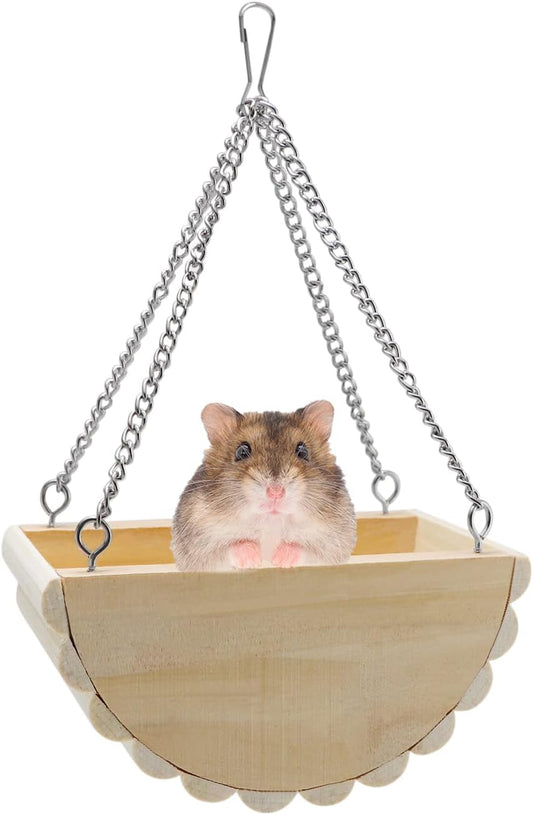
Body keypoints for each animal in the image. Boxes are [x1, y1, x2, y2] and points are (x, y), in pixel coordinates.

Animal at [170, 400, 357, 571]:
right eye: (241, 451)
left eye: (303, 451)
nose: (275, 492)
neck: (270, 521)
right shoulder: (199, 547)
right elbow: (229, 547)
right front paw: (253, 561)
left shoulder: (333, 546)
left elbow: (306, 549)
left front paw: (279, 561)